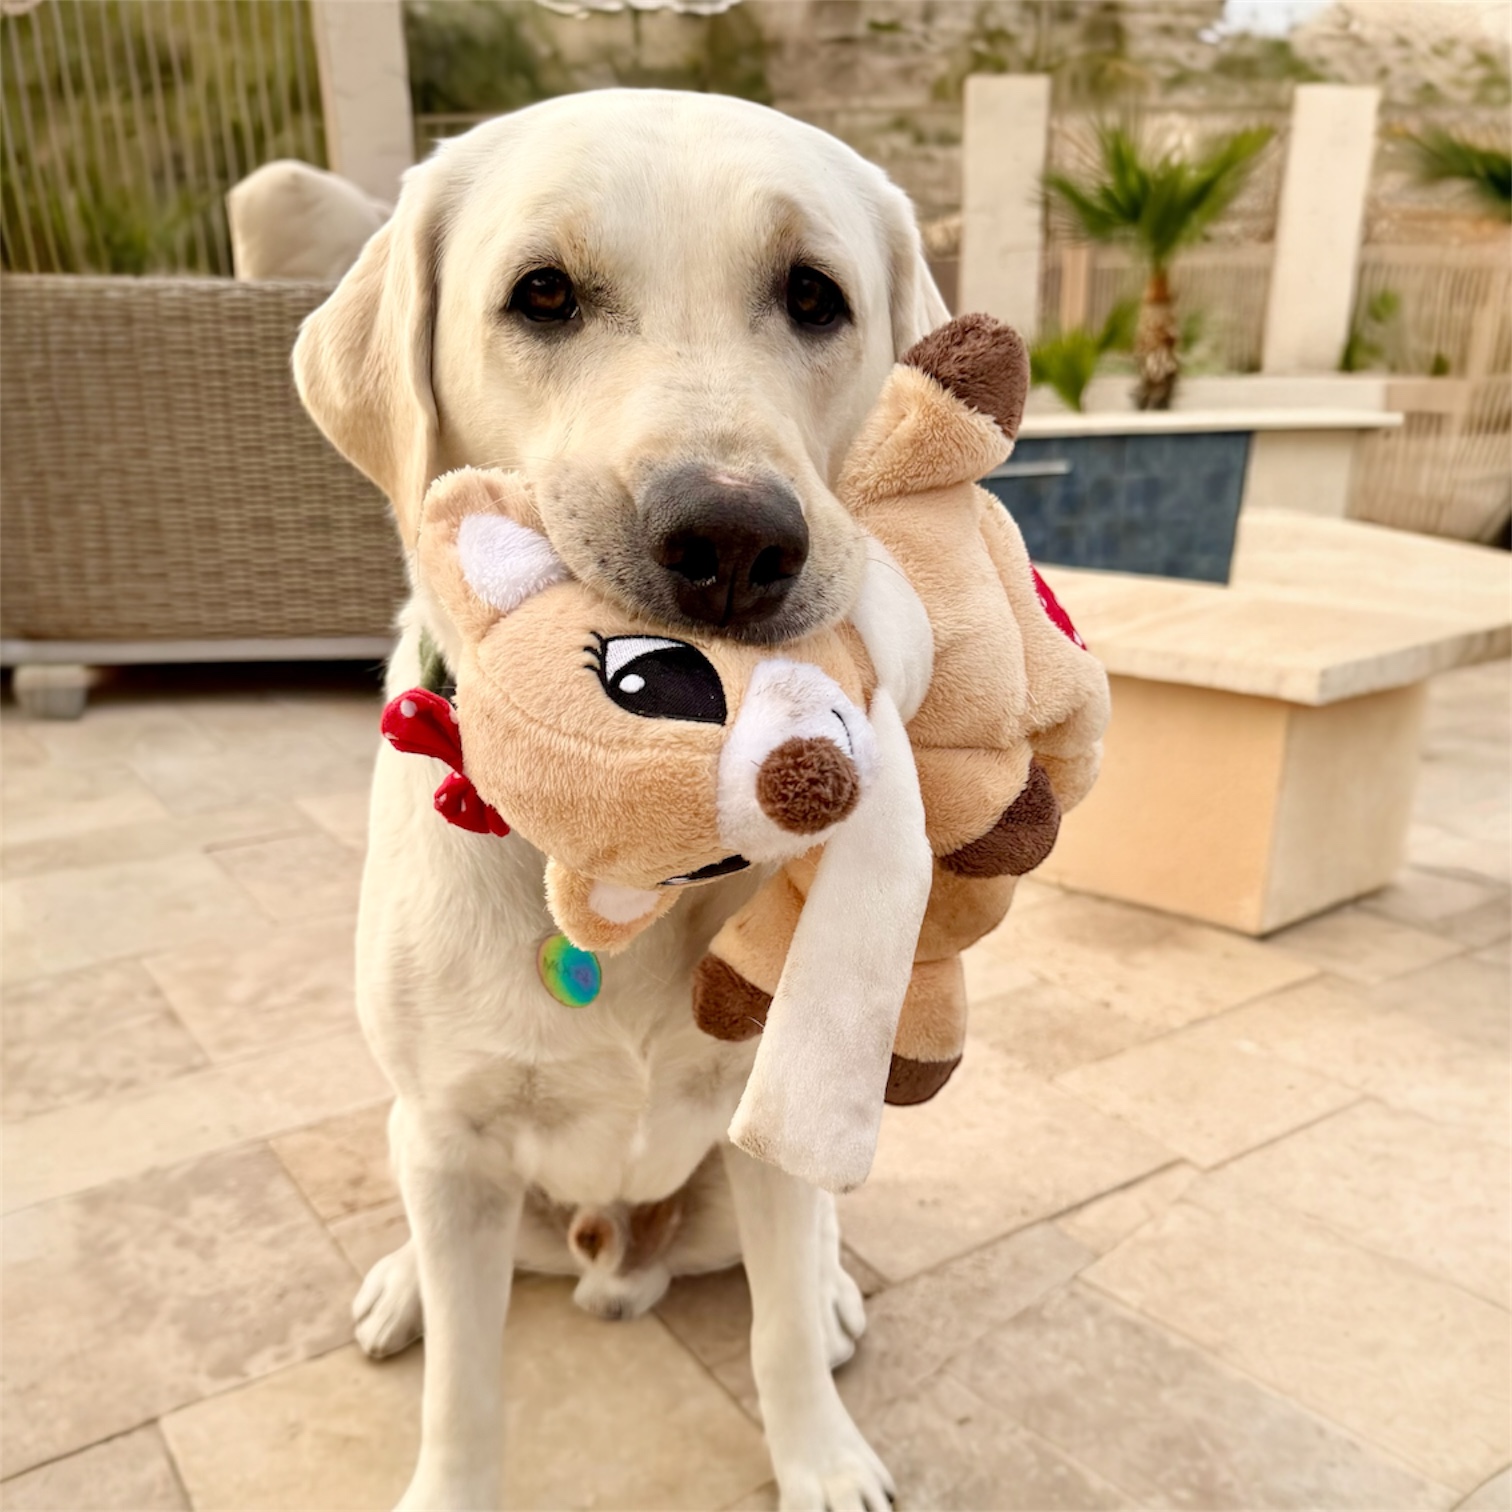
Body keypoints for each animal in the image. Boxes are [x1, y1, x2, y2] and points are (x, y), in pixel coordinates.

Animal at [294, 88, 951, 1512]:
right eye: (542, 294)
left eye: (814, 297)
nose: (736, 540)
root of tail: (612, 1261)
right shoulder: (456, 1142)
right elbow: (465, 1392)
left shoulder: (764, 1115)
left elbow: (773, 1336)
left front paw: (821, 1457)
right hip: (447, 1163)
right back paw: (400, 1288)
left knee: (797, 1254)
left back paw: (832, 1297)